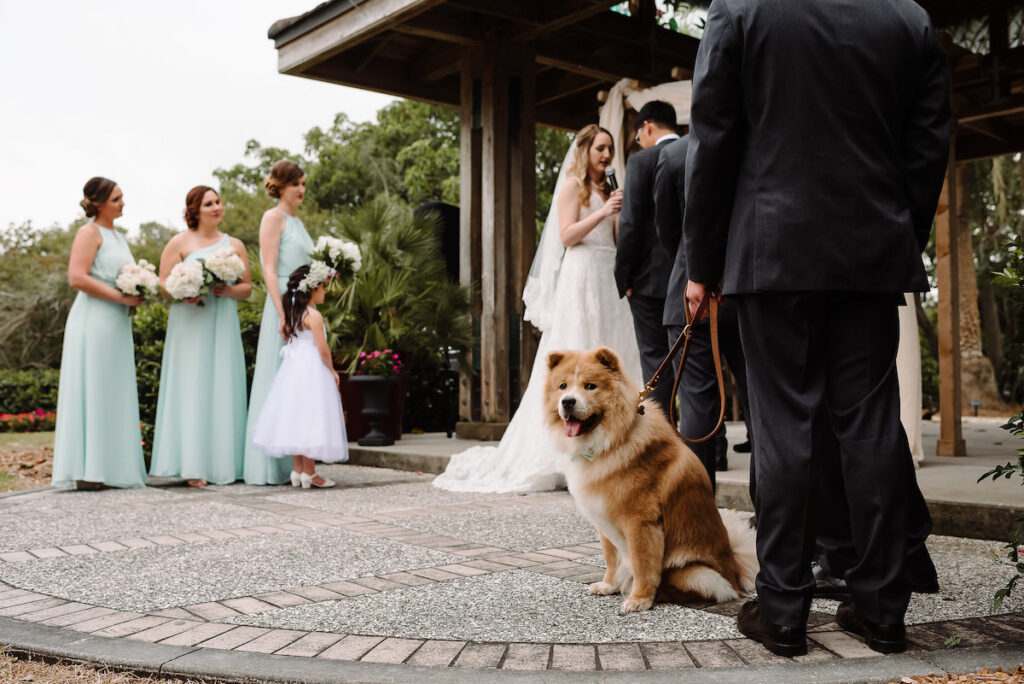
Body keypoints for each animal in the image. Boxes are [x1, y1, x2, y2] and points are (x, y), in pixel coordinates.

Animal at [544, 348, 761, 614]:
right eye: (563, 386)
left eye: (590, 386)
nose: (567, 401)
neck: (611, 442)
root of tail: (736, 571)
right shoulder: (604, 518)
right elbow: (611, 559)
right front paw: (609, 586)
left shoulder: (640, 522)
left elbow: (643, 564)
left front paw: (639, 599)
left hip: (697, 572)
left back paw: (663, 592)